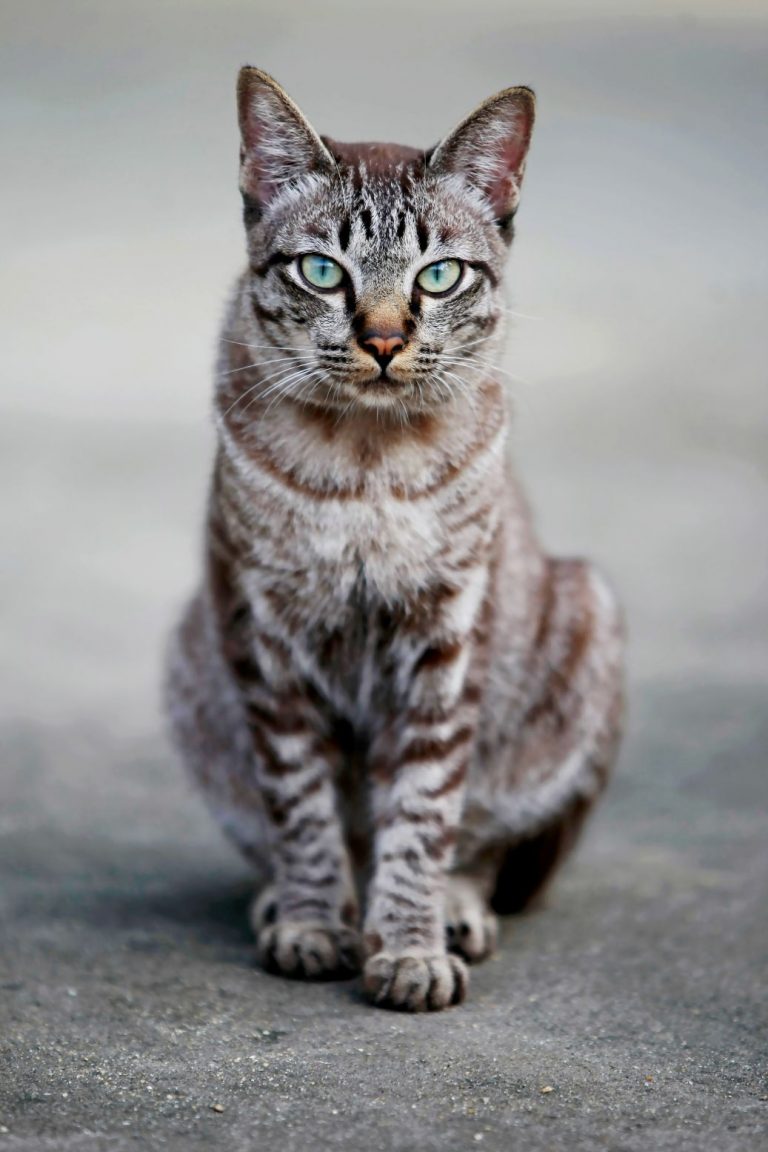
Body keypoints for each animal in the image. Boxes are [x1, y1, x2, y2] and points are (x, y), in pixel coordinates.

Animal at [166, 67, 626, 1013]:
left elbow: (421, 811)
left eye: (439, 276)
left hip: (583, 612)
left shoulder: (445, 635)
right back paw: (291, 900)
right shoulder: (264, 632)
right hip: (191, 648)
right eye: (322, 271)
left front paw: (410, 945)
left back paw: (452, 909)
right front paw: (312, 921)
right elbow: (302, 808)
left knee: (481, 842)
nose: (382, 338)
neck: (366, 463)